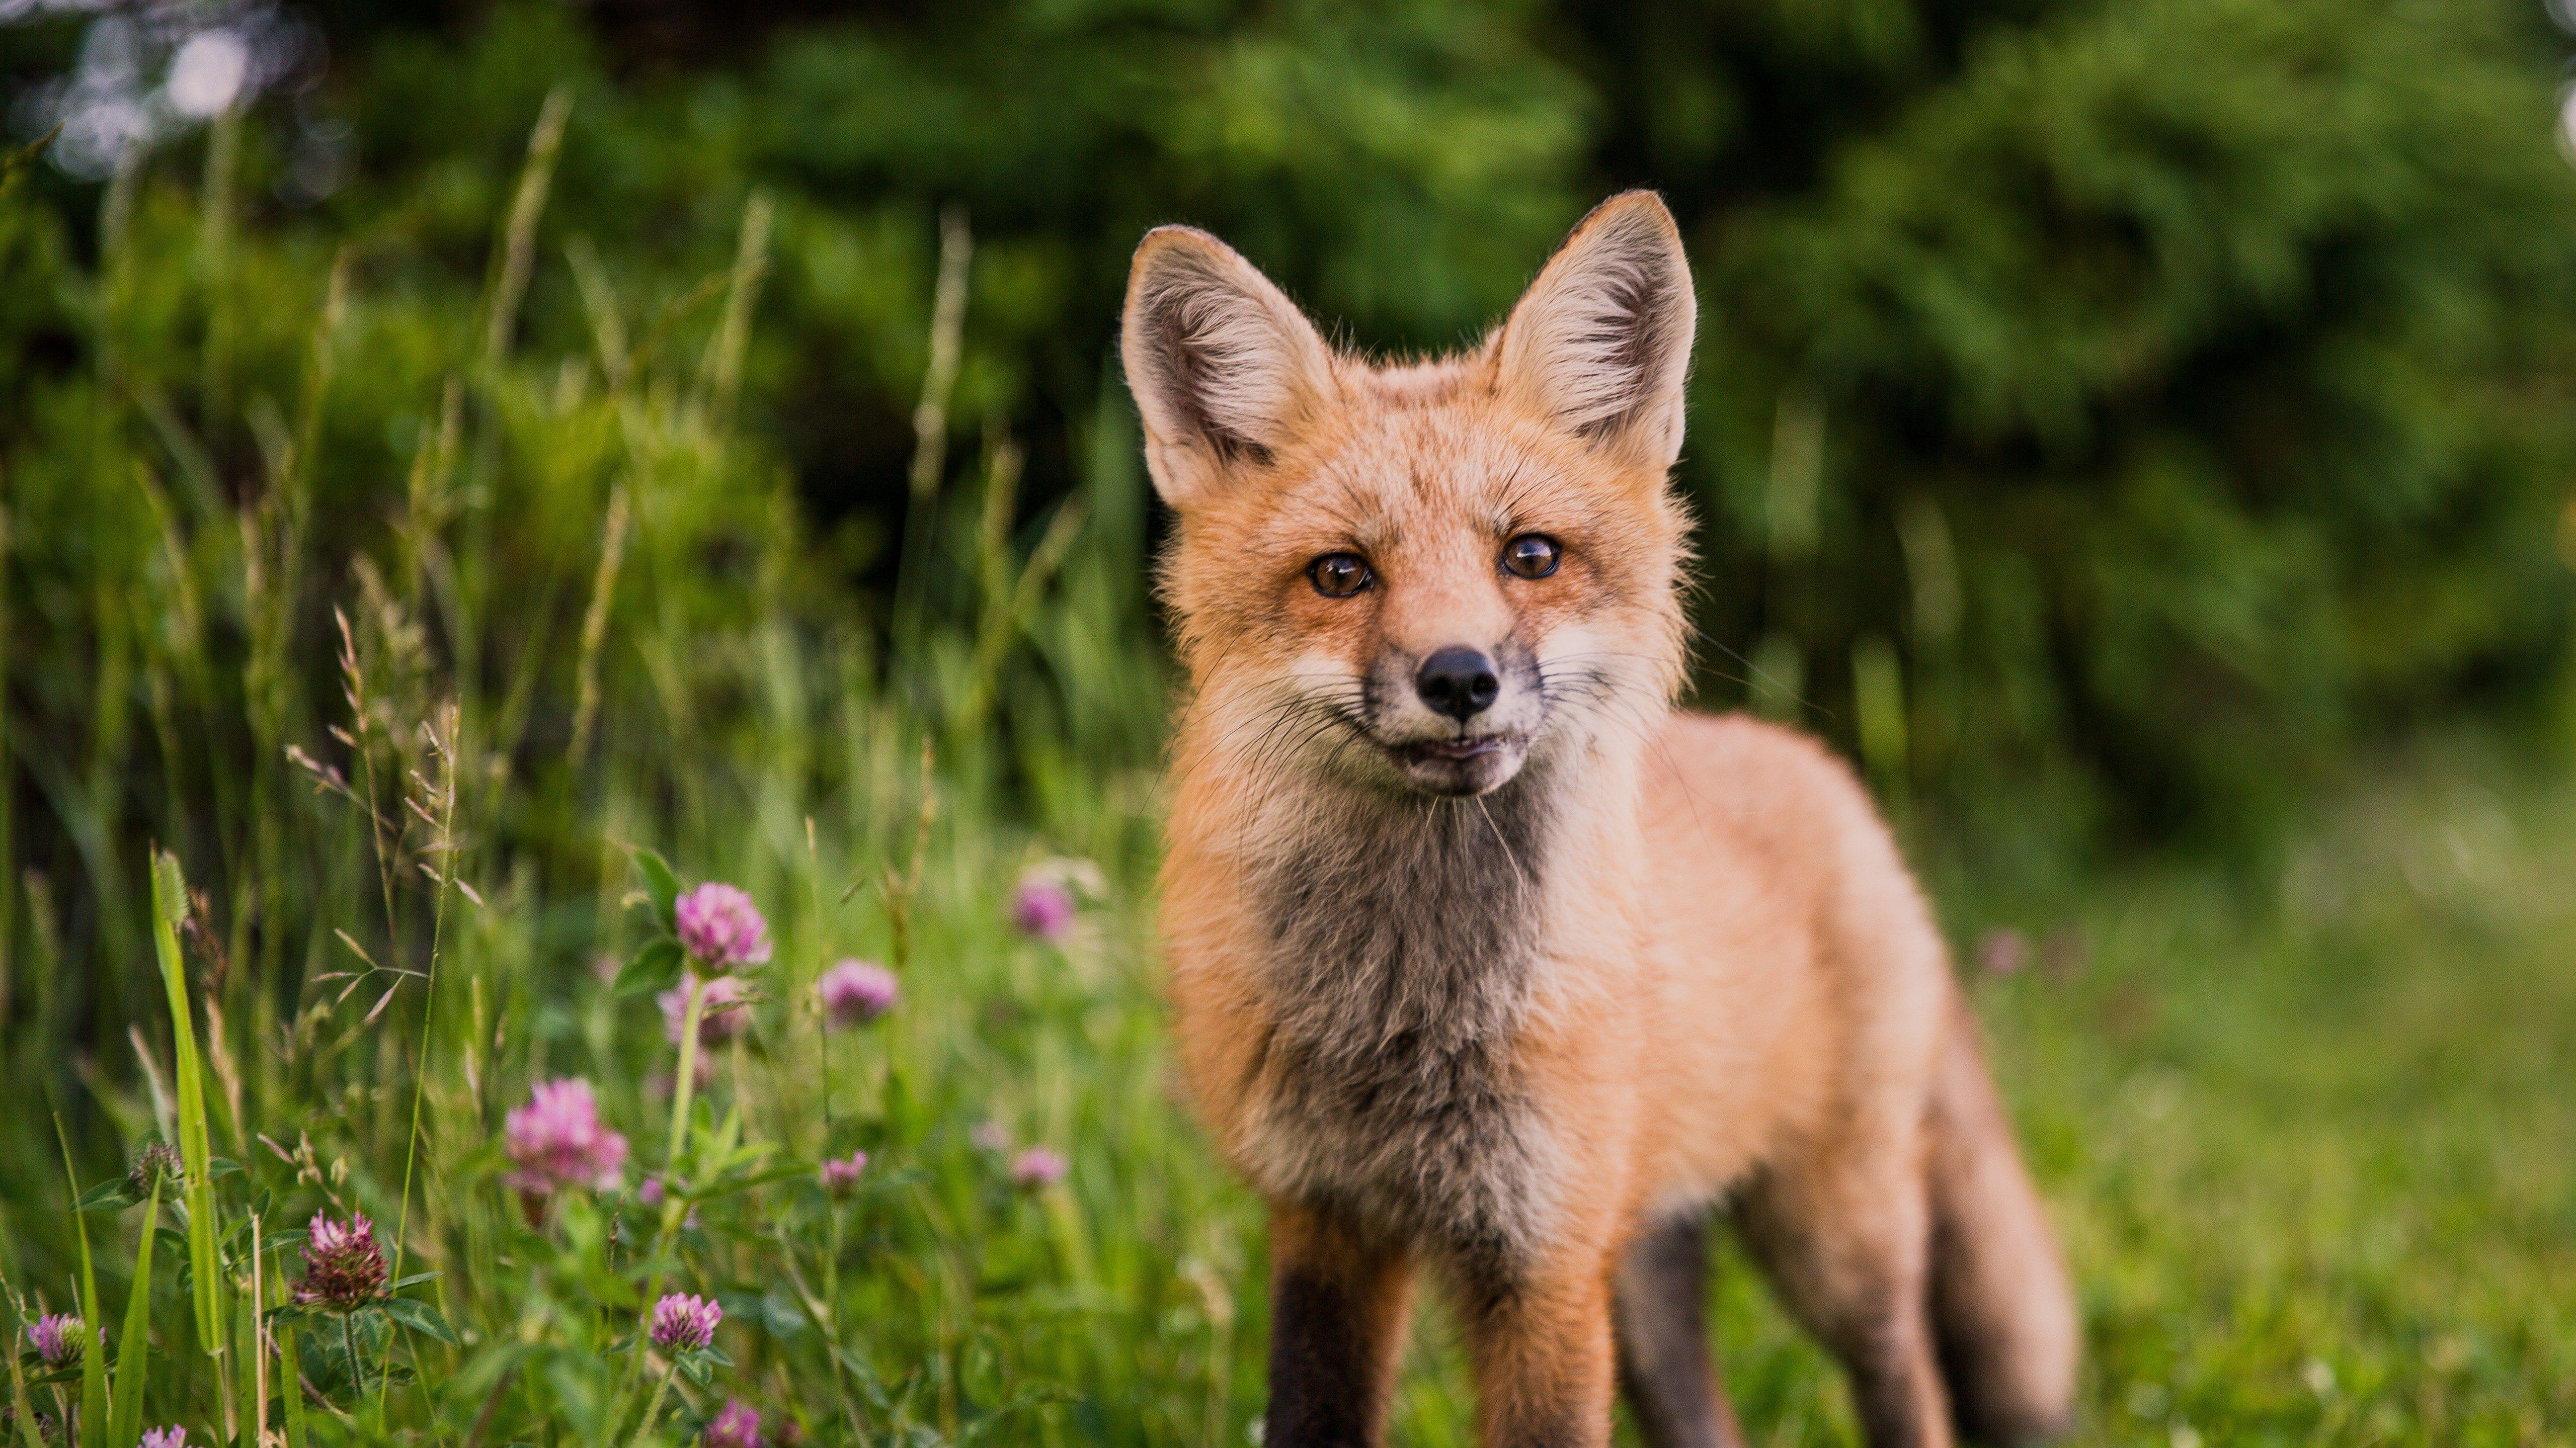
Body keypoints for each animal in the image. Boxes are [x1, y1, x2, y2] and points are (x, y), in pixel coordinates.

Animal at [1121, 191, 2078, 1448]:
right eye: (1340, 573)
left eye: (1529, 554)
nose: (1459, 676)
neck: (1411, 1013)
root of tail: (1823, 771)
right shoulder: (1331, 1222)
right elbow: (1311, 1416)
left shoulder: (1544, 1258)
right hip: (1647, 1275)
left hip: (1834, 1240)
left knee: (1912, 1379)